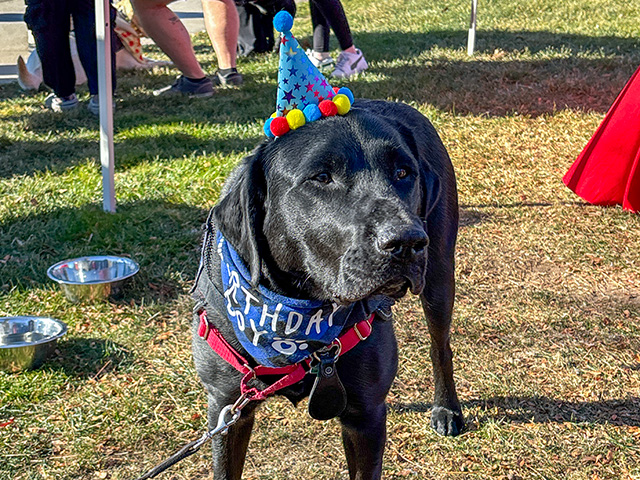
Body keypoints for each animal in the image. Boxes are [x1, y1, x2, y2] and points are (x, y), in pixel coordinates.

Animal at [191, 99, 464, 478]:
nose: (407, 242)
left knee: (440, 346)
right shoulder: (227, 408)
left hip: (438, 276)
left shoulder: (365, 416)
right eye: (321, 177)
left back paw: (447, 408)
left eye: (403, 173)